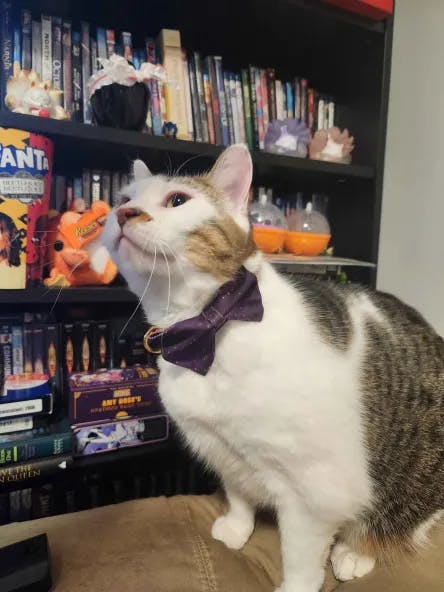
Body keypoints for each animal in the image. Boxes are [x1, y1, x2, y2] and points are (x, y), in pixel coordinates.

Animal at [102, 144, 444, 592]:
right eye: (124, 199)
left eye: (177, 200)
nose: (125, 214)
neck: (204, 329)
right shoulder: (222, 449)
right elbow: (238, 494)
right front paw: (236, 528)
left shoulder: (312, 492)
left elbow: (299, 557)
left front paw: (297, 583)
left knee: (405, 519)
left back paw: (355, 552)